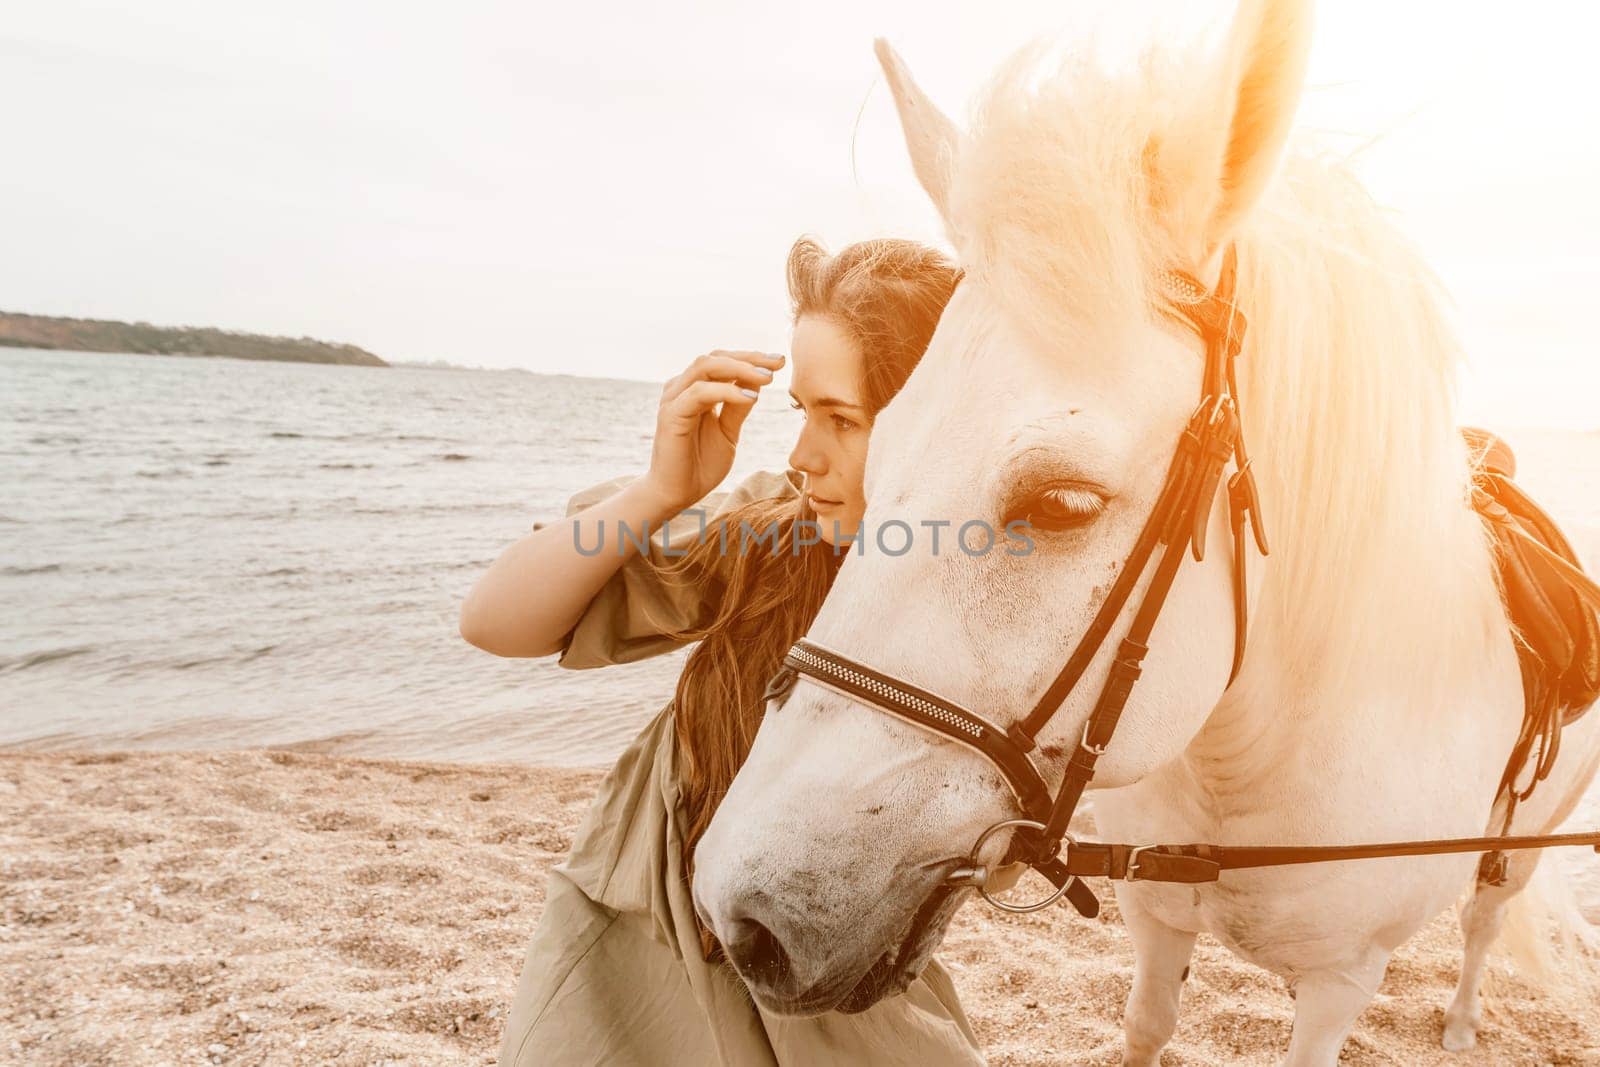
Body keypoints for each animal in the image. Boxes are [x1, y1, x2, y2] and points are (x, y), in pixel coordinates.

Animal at [691, 4, 1600, 1062]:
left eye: (1063, 504)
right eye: (879, 454)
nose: (738, 912)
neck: (1248, 779)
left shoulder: (1341, 983)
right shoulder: (1158, 921)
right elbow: (1148, 1023)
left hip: (1523, 843)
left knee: (1487, 917)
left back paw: (1458, 1020)